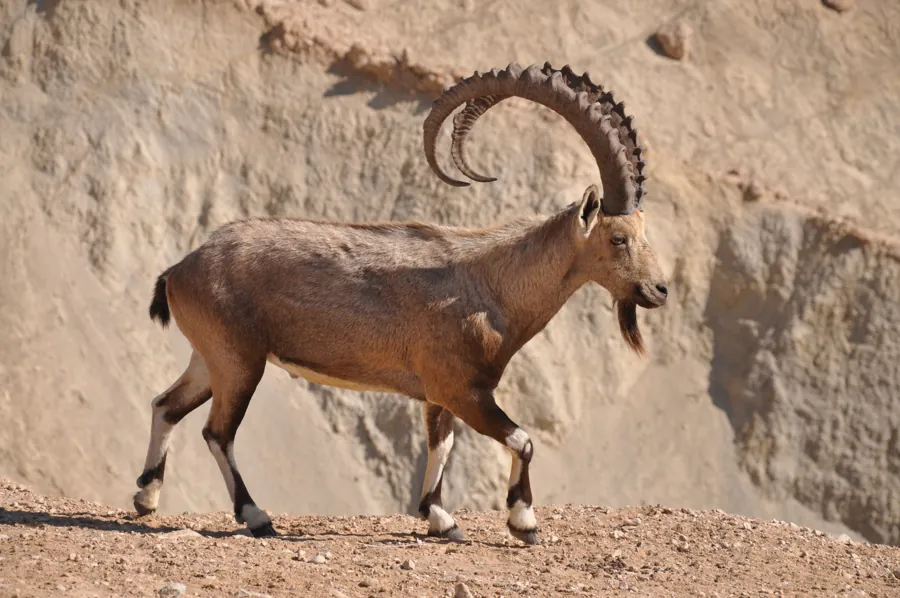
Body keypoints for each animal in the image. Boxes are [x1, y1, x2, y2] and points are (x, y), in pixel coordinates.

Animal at [133, 62, 669, 545]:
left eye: (644, 230)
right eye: (618, 238)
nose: (660, 289)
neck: (492, 283)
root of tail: (180, 269)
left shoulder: (438, 395)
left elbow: (441, 444)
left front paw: (440, 519)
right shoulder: (463, 390)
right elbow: (524, 440)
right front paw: (523, 523)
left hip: (210, 357)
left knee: (166, 405)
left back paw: (146, 497)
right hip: (240, 361)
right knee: (217, 432)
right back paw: (256, 516)